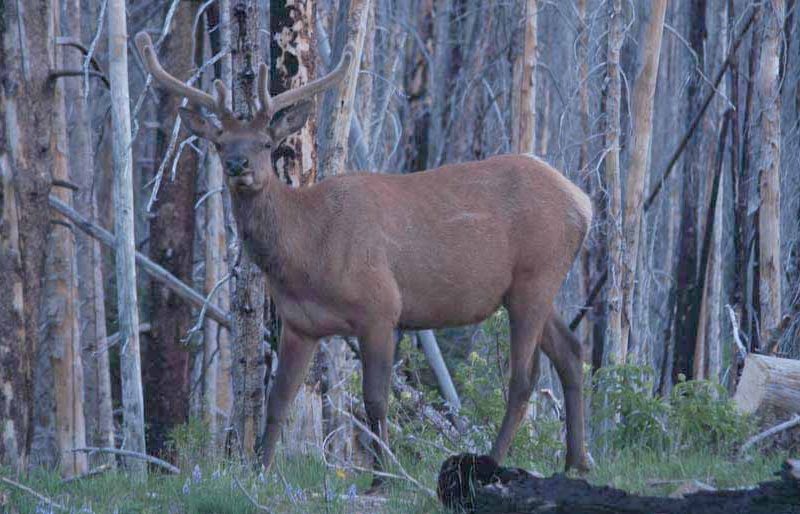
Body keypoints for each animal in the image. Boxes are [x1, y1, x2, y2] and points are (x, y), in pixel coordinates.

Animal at [134, 31, 592, 480]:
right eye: (219, 142)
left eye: (266, 143)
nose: (237, 165)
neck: (307, 253)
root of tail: (582, 202)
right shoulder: (299, 324)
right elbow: (278, 401)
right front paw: (258, 473)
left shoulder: (380, 308)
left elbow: (375, 400)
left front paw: (383, 477)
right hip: (531, 286)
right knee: (571, 352)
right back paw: (577, 461)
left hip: (535, 275)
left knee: (524, 377)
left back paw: (494, 461)